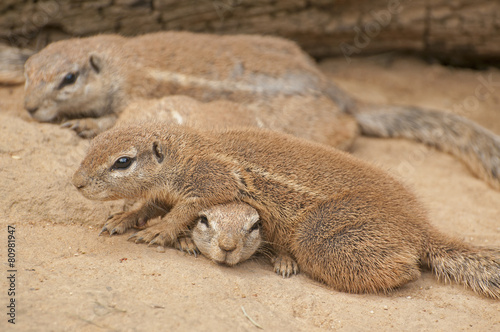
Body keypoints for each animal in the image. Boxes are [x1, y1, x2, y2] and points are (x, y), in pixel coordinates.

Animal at [23, 33, 500, 192]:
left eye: (68, 78)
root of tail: (332, 86)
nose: (27, 108)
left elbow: (116, 119)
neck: (118, 56)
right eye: (29, 68)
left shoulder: (135, 92)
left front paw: (87, 122)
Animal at [72, 124, 498, 298]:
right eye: (91, 145)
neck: (188, 151)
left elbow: (184, 209)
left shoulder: (211, 182)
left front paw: (159, 231)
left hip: (318, 235)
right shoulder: (168, 192)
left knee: (408, 269)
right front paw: (123, 218)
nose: (76, 182)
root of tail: (420, 226)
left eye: (123, 161)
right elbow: (150, 203)